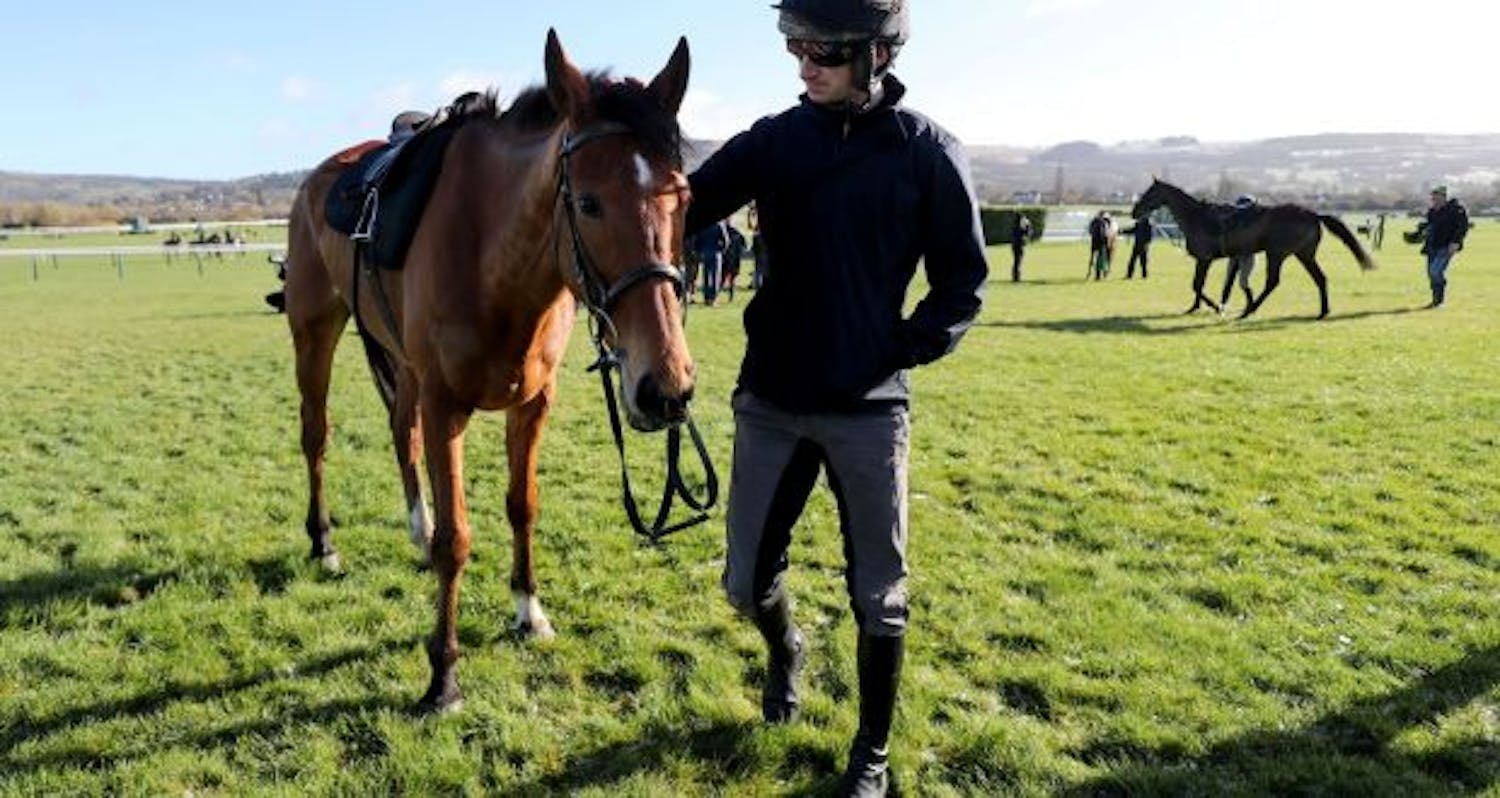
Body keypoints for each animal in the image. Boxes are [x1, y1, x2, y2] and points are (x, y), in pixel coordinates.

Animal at [282, 29, 696, 711]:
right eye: (588, 202)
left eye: (682, 197)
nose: (666, 388)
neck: (493, 259)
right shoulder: (445, 404)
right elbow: (458, 539)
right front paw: (443, 675)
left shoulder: (533, 401)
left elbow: (521, 504)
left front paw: (528, 610)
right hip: (315, 332)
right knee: (316, 435)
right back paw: (324, 542)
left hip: (403, 363)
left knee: (401, 433)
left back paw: (415, 532)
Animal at [1128, 179, 1374, 319]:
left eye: (1149, 193)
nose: (1134, 211)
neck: (1197, 217)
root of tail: (1313, 214)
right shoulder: (1207, 260)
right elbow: (1199, 285)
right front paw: (1195, 307)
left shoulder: (1204, 259)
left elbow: (1197, 285)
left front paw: (1216, 307)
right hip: (1303, 254)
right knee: (1320, 278)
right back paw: (1323, 311)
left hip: (1277, 253)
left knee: (1273, 282)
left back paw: (1250, 310)